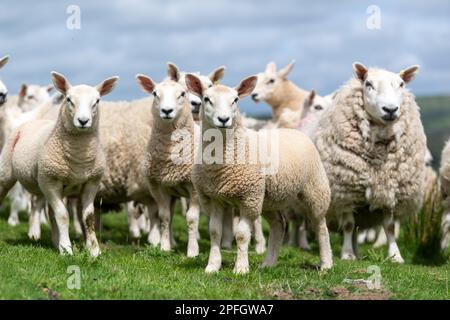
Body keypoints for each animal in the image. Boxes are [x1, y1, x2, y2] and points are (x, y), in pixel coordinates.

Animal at [0, 71, 118, 256]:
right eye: (69, 99)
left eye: (97, 101)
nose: (83, 121)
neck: (79, 159)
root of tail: (35, 120)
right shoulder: (51, 182)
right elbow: (62, 215)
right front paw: (67, 249)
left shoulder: (91, 182)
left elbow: (88, 217)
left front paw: (93, 250)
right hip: (8, 173)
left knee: (47, 210)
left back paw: (55, 243)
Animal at [185, 74, 332, 274]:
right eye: (206, 99)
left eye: (235, 100)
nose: (223, 119)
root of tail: (296, 131)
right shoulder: (212, 198)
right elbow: (215, 231)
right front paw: (212, 266)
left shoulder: (249, 198)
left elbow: (241, 234)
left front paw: (240, 268)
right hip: (270, 197)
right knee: (279, 224)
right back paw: (268, 263)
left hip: (315, 189)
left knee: (321, 225)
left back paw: (326, 263)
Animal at [312, 62, 426, 262]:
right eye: (368, 84)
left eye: (402, 84)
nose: (390, 109)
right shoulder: (346, 191)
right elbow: (348, 225)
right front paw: (347, 254)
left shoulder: (390, 190)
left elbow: (389, 227)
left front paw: (395, 256)